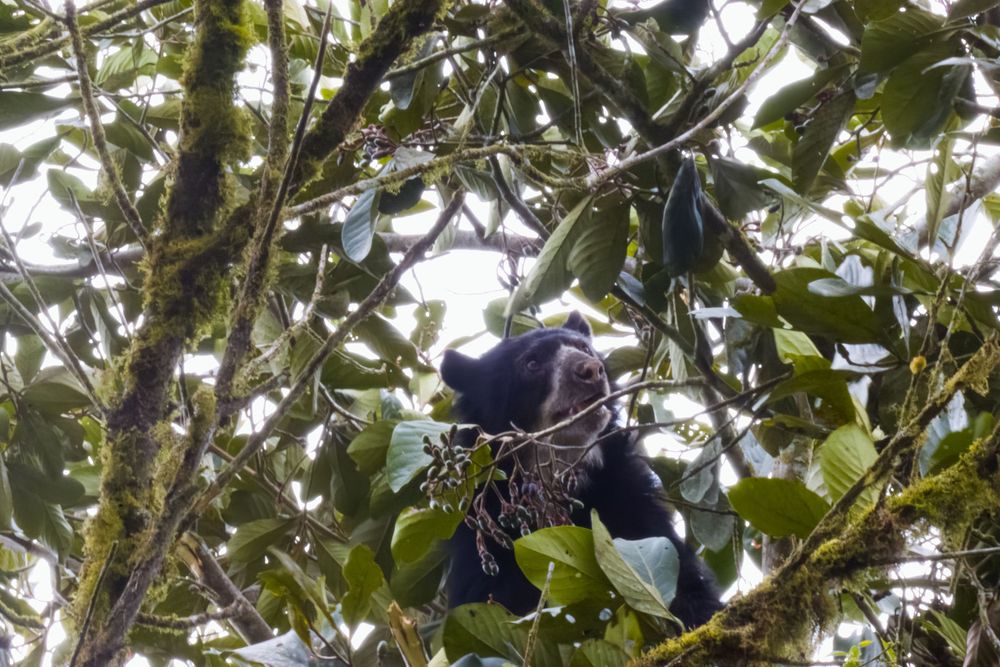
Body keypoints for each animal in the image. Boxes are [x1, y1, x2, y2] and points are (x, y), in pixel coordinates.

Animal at [439, 311, 723, 629]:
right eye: (531, 363)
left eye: (584, 348)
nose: (591, 370)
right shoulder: (480, 538)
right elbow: (494, 596)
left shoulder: (630, 499)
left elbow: (689, 584)